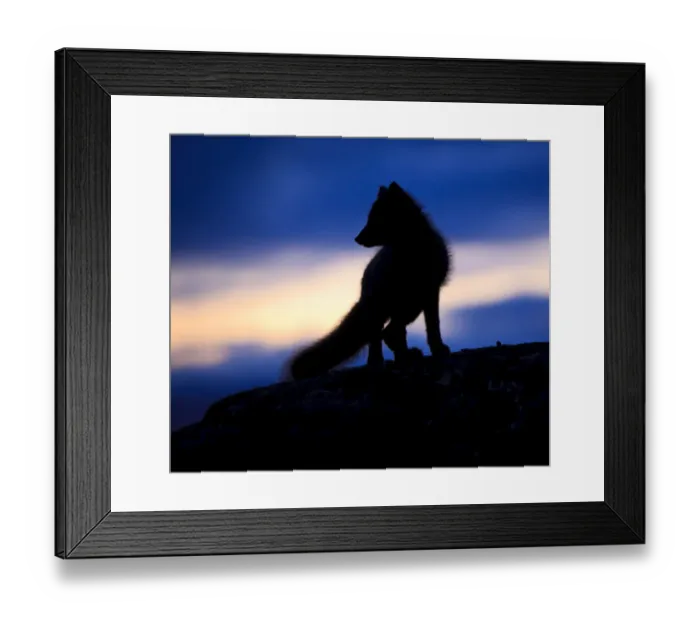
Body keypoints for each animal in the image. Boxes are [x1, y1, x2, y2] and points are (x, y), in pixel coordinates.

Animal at [287, 181, 451, 381]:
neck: (412, 254)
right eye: (369, 218)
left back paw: (404, 356)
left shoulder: (431, 292)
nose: (357, 239)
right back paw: (381, 363)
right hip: (387, 310)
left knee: (390, 333)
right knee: (381, 336)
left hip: (411, 308)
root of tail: (363, 287)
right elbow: (408, 332)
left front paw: (438, 349)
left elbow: (433, 327)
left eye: (376, 218)